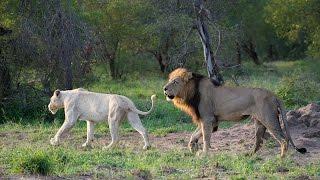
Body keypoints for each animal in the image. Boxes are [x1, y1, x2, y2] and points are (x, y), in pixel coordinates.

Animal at [164, 68, 306, 157]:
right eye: (169, 80)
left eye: (175, 82)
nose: (164, 88)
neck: (190, 93)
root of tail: (274, 95)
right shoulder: (211, 120)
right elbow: (194, 135)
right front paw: (192, 147)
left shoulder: (207, 119)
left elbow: (205, 137)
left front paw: (204, 154)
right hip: (259, 122)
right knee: (259, 142)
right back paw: (249, 155)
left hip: (269, 119)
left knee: (284, 139)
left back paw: (281, 159)